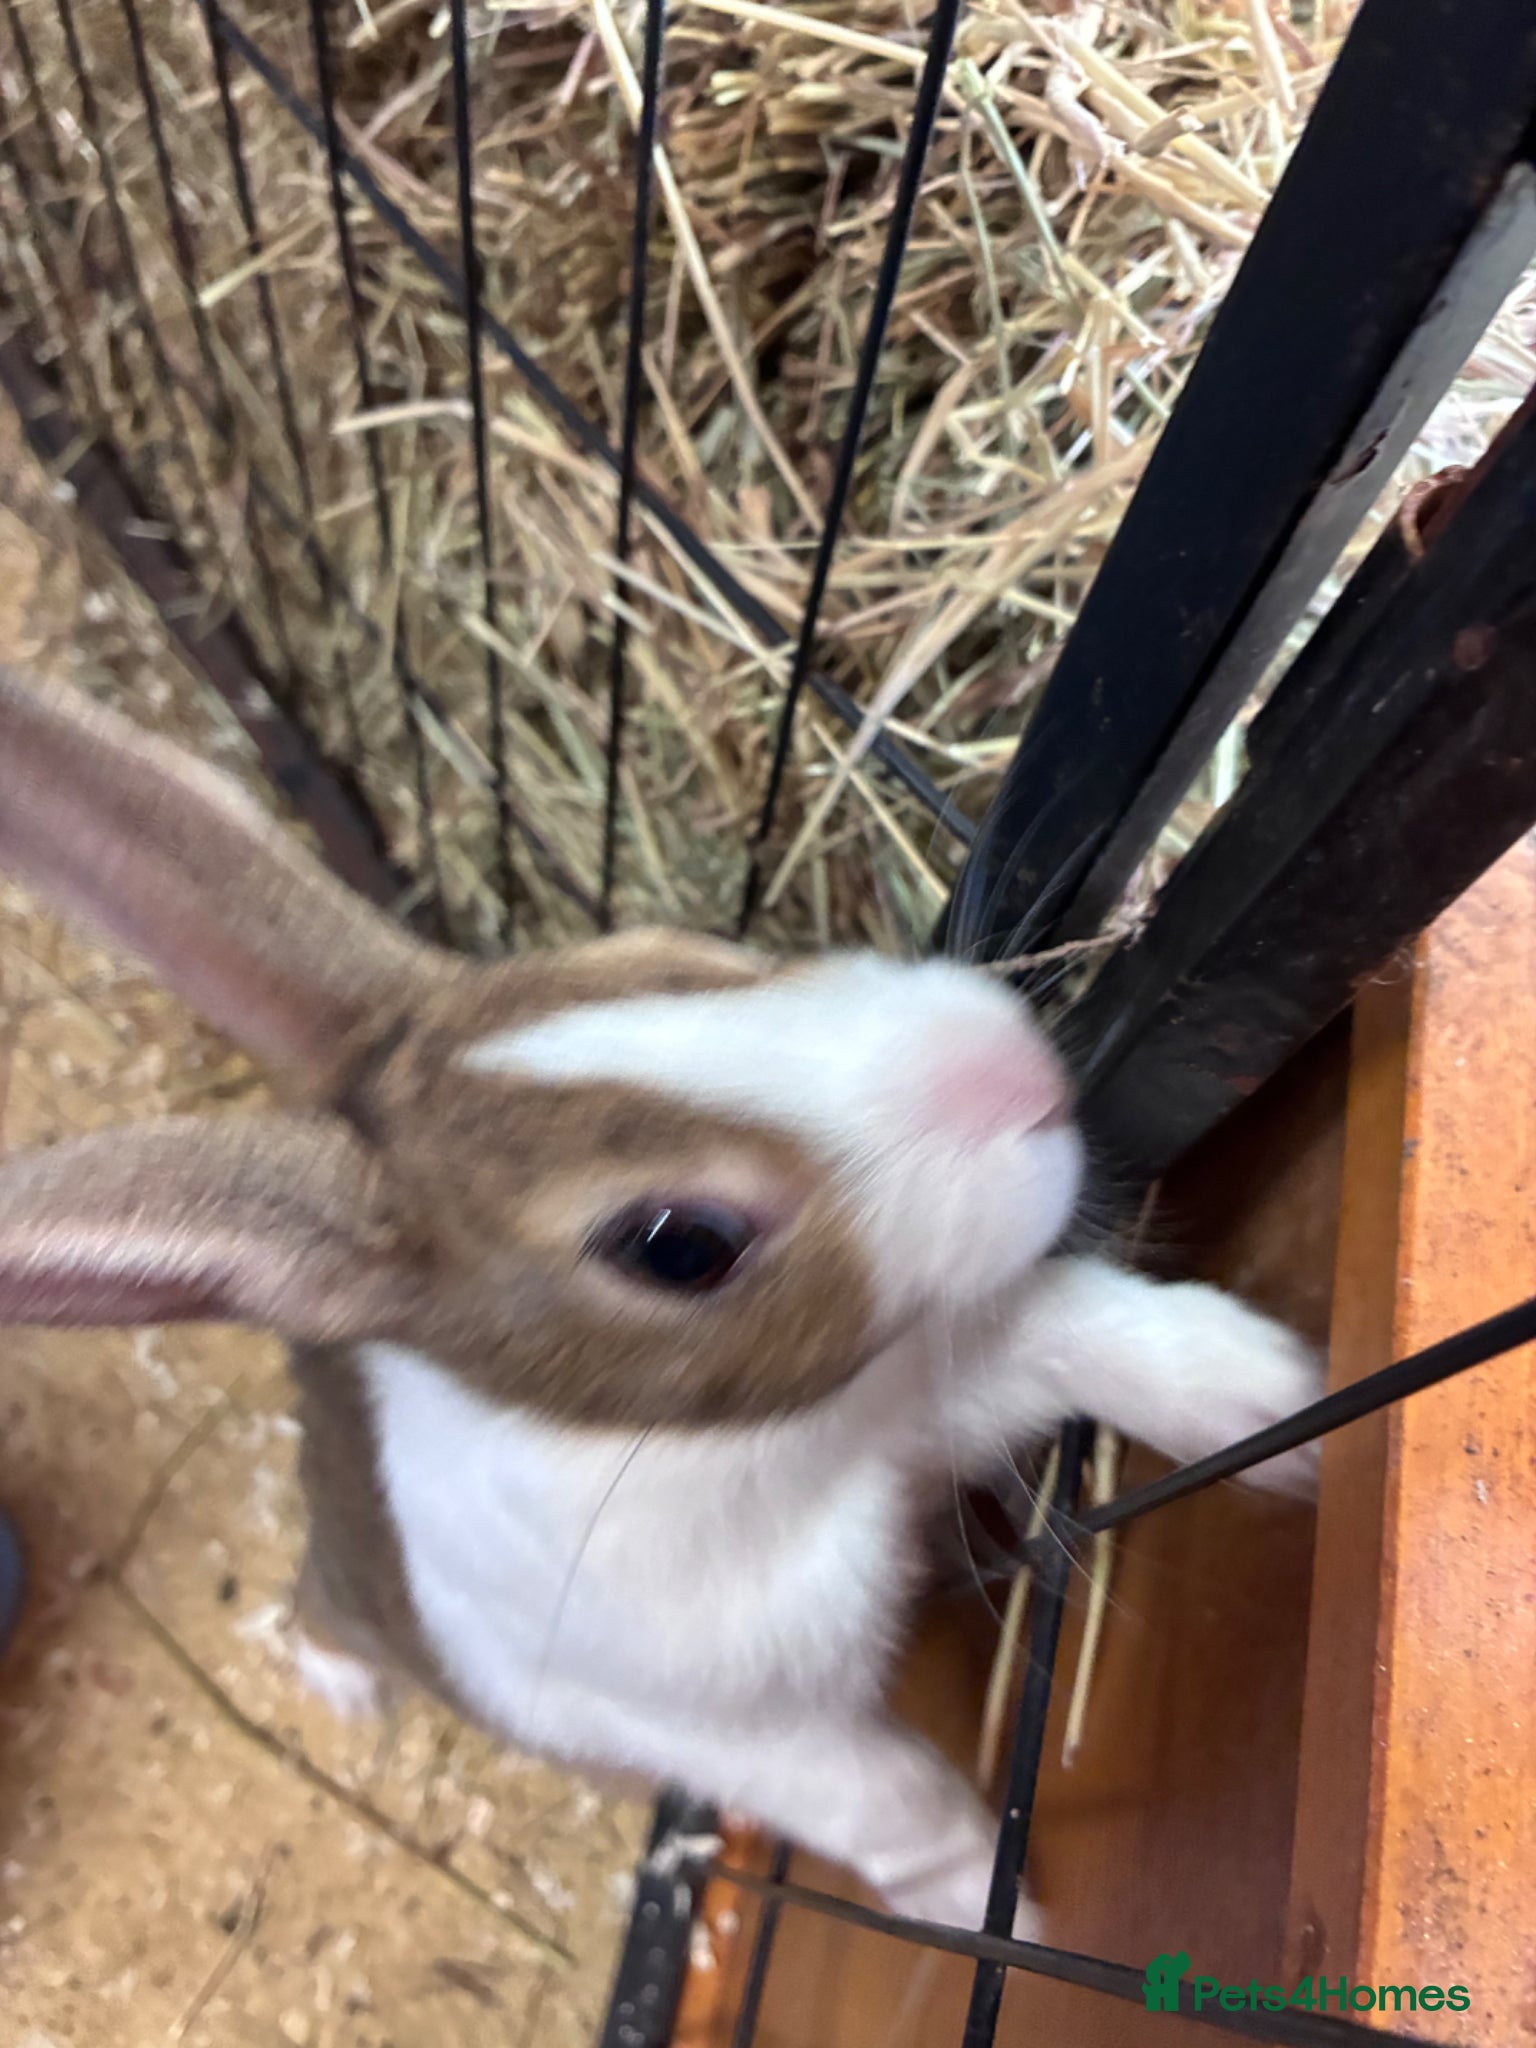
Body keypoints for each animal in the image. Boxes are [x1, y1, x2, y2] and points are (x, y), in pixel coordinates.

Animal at [0, 667, 1320, 1937]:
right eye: (680, 1246)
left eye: (678, 961)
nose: (1020, 1077)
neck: (779, 1442)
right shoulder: (749, 1731)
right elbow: (896, 1803)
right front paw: (998, 1913)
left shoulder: (948, 1377)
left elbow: (1094, 1330)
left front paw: (1283, 1404)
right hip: (353, 1587)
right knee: (318, 1603)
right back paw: (345, 1679)